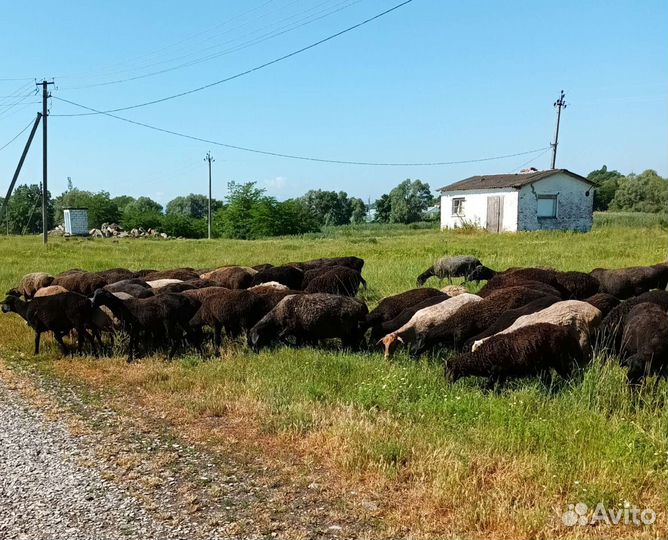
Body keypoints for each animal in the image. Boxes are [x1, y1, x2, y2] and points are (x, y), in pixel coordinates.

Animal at [446, 323, 583, 387]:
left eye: (448, 371)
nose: (447, 384)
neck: (481, 358)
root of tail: (566, 332)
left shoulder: (498, 373)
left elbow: (488, 387)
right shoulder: (501, 375)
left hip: (560, 360)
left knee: (568, 375)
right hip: (544, 365)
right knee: (549, 379)